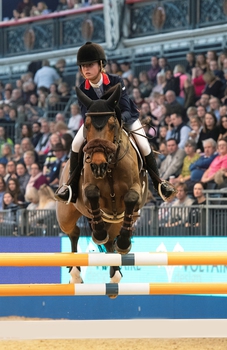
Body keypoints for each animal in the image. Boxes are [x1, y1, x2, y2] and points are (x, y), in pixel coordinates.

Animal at [56, 84, 148, 288]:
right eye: (87, 125)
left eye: (112, 125)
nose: (98, 165)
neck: (111, 167)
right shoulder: (88, 192)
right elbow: (92, 193)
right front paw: (98, 234)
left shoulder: (136, 193)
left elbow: (131, 198)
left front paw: (124, 243)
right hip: (66, 215)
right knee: (73, 232)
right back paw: (76, 274)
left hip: (117, 219)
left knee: (111, 240)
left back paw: (115, 272)